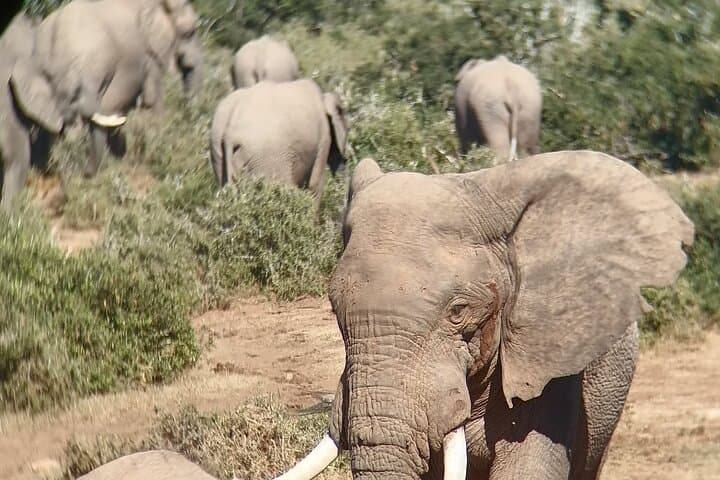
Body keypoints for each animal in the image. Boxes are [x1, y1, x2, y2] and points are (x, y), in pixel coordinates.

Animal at [210, 79, 348, 209]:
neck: (324, 97)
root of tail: (230, 131)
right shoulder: (323, 138)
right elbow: (315, 184)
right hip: (268, 156)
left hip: (218, 150)